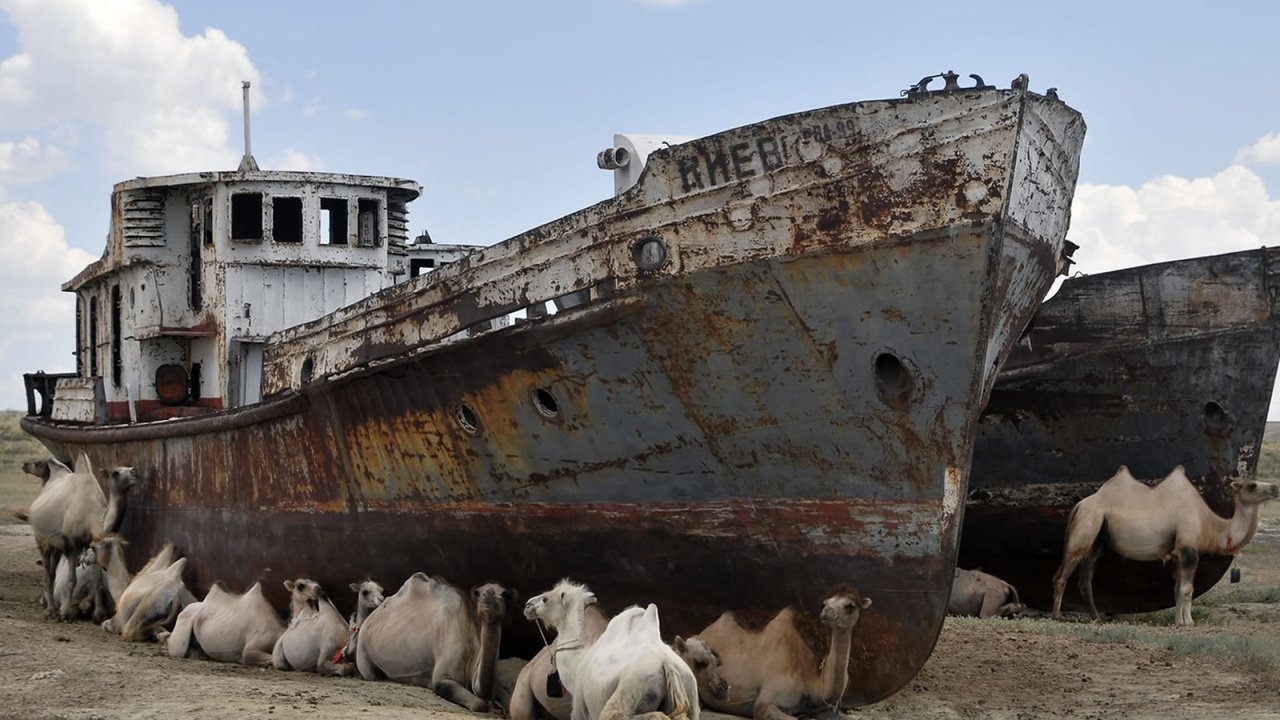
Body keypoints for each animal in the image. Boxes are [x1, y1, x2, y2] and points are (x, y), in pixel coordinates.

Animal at [27, 450, 137, 614]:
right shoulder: (72, 545)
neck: (92, 518)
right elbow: (71, 580)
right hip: (42, 539)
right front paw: (65, 614)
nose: (134, 472)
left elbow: (98, 581)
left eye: (129, 468)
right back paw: (51, 610)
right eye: (115, 473)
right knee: (47, 572)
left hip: (57, 546)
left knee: (52, 571)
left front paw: (99, 614)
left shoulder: (95, 544)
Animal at [355, 568, 514, 707]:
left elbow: (508, 697)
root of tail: (368, 619)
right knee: (371, 674)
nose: (490, 595)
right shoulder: (442, 678)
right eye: (479, 593)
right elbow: (478, 704)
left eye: (505, 594)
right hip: (362, 647)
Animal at [519, 576, 701, 717]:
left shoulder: (580, 708)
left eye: (546, 599)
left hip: (628, 692)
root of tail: (668, 665)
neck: (577, 664)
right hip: (691, 696)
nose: (527, 605)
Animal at [1049, 466, 1280, 622]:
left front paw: (1179, 621)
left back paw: (1096, 617)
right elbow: (1187, 590)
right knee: (1062, 574)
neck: (1209, 524)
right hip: (1086, 527)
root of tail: (1079, 505)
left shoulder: (1179, 552)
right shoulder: (1189, 549)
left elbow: (1177, 589)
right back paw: (1057, 616)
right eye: (1252, 485)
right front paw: (1188, 622)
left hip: (1098, 539)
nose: (1275, 487)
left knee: (1085, 577)